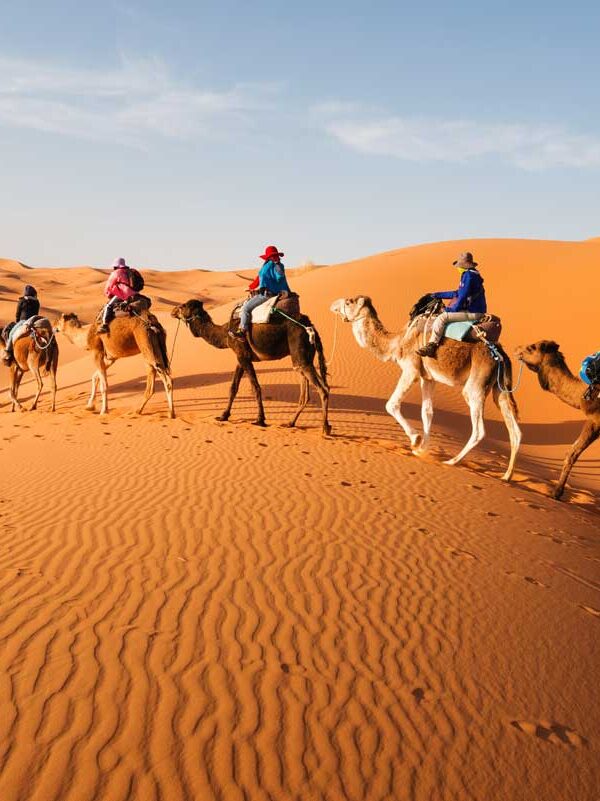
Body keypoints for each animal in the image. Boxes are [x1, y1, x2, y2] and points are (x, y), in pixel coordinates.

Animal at [171, 299, 331, 434]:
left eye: (183, 306)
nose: (172, 311)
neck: (225, 333)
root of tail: (311, 327)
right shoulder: (240, 357)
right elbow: (233, 387)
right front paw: (223, 416)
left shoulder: (243, 356)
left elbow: (256, 387)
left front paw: (260, 419)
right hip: (303, 358)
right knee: (308, 391)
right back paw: (290, 423)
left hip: (300, 352)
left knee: (322, 388)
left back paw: (325, 428)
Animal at [330, 296, 521, 480]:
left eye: (349, 301)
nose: (333, 304)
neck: (398, 342)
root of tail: (500, 355)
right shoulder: (428, 378)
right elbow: (427, 412)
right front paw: (422, 449)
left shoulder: (411, 370)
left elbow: (391, 404)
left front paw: (415, 440)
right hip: (500, 388)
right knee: (515, 431)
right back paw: (507, 475)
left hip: (476, 385)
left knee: (479, 430)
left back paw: (452, 461)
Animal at [515, 340, 600, 499]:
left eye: (531, 347)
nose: (516, 349)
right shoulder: (596, 423)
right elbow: (572, 453)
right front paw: (557, 492)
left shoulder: (596, 418)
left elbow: (572, 453)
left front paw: (557, 492)